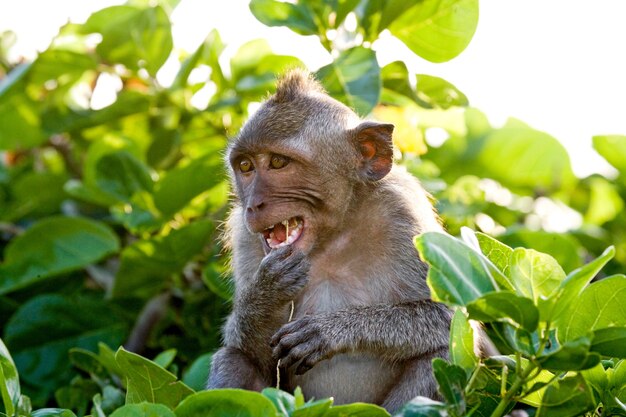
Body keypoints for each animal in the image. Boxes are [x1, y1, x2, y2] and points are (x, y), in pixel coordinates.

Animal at [207, 68, 456, 410]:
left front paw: (331, 330)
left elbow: (451, 317)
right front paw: (265, 293)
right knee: (233, 358)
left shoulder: (402, 213)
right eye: (245, 166)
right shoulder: (245, 237)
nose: (254, 205)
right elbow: (250, 351)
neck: (333, 235)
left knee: (440, 355)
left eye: (278, 162)